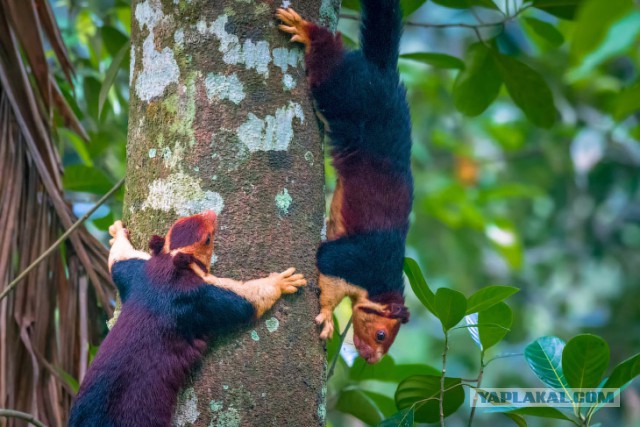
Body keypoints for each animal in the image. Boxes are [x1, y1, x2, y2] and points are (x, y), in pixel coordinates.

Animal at [70, 212, 308, 426]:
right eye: (208, 238)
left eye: (181, 220)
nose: (211, 214)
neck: (168, 268)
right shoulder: (200, 297)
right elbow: (247, 301)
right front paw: (280, 282)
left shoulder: (137, 271)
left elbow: (118, 258)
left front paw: (117, 231)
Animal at [278, 0, 412, 364]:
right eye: (381, 334)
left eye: (388, 342)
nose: (371, 359)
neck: (380, 284)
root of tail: (384, 73)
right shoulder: (357, 261)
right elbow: (326, 265)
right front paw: (326, 316)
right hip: (353, 94)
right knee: (332, 65)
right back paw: (309, 32)